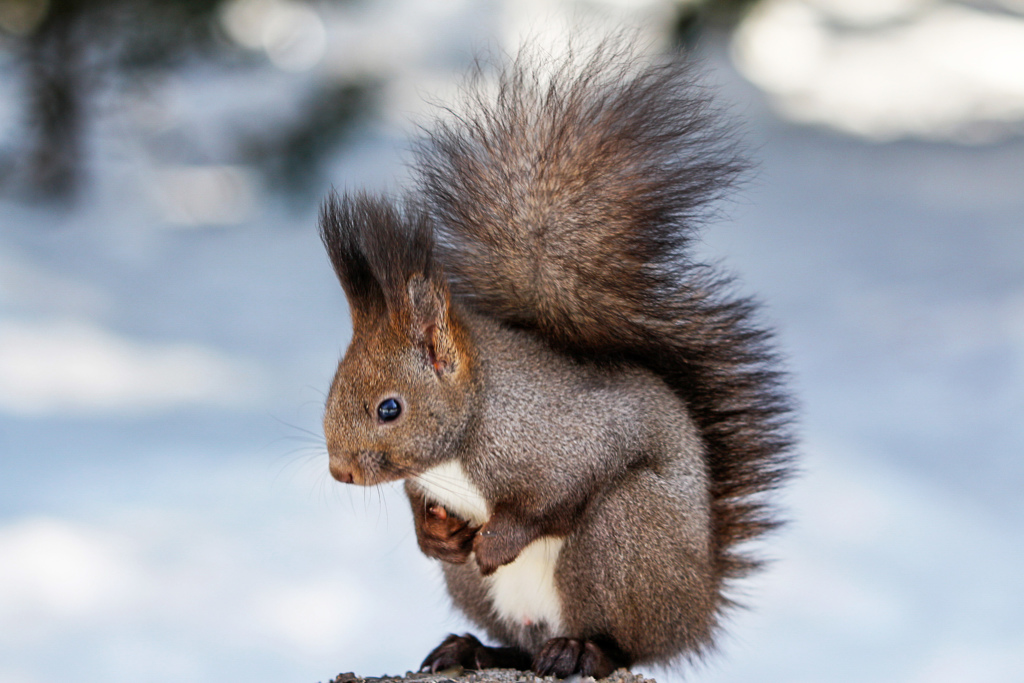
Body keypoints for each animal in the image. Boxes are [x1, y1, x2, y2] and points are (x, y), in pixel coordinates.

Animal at [317, 40, 790, 679]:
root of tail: (699, 611)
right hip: (479, 591)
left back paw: (581, 650)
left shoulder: (567, 438)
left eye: (390, 408)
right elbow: (422, 507)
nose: (340, 470)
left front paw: (496, 540)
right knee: (518, 640)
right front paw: (434, 536)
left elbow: (556, 496)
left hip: (627, 537)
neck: (466, 438)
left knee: (621, 644)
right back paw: (472, 648)